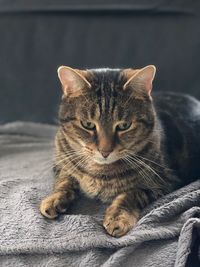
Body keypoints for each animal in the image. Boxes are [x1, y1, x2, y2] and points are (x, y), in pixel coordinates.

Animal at [39, 65, 200, 239]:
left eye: (124, 126)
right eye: (88, 124)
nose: (105, 151)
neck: (99, 172)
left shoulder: (163, 182)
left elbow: (130, 194)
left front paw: (117, 218)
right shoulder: (61, 165)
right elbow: (64, 181)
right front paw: (54, 199)